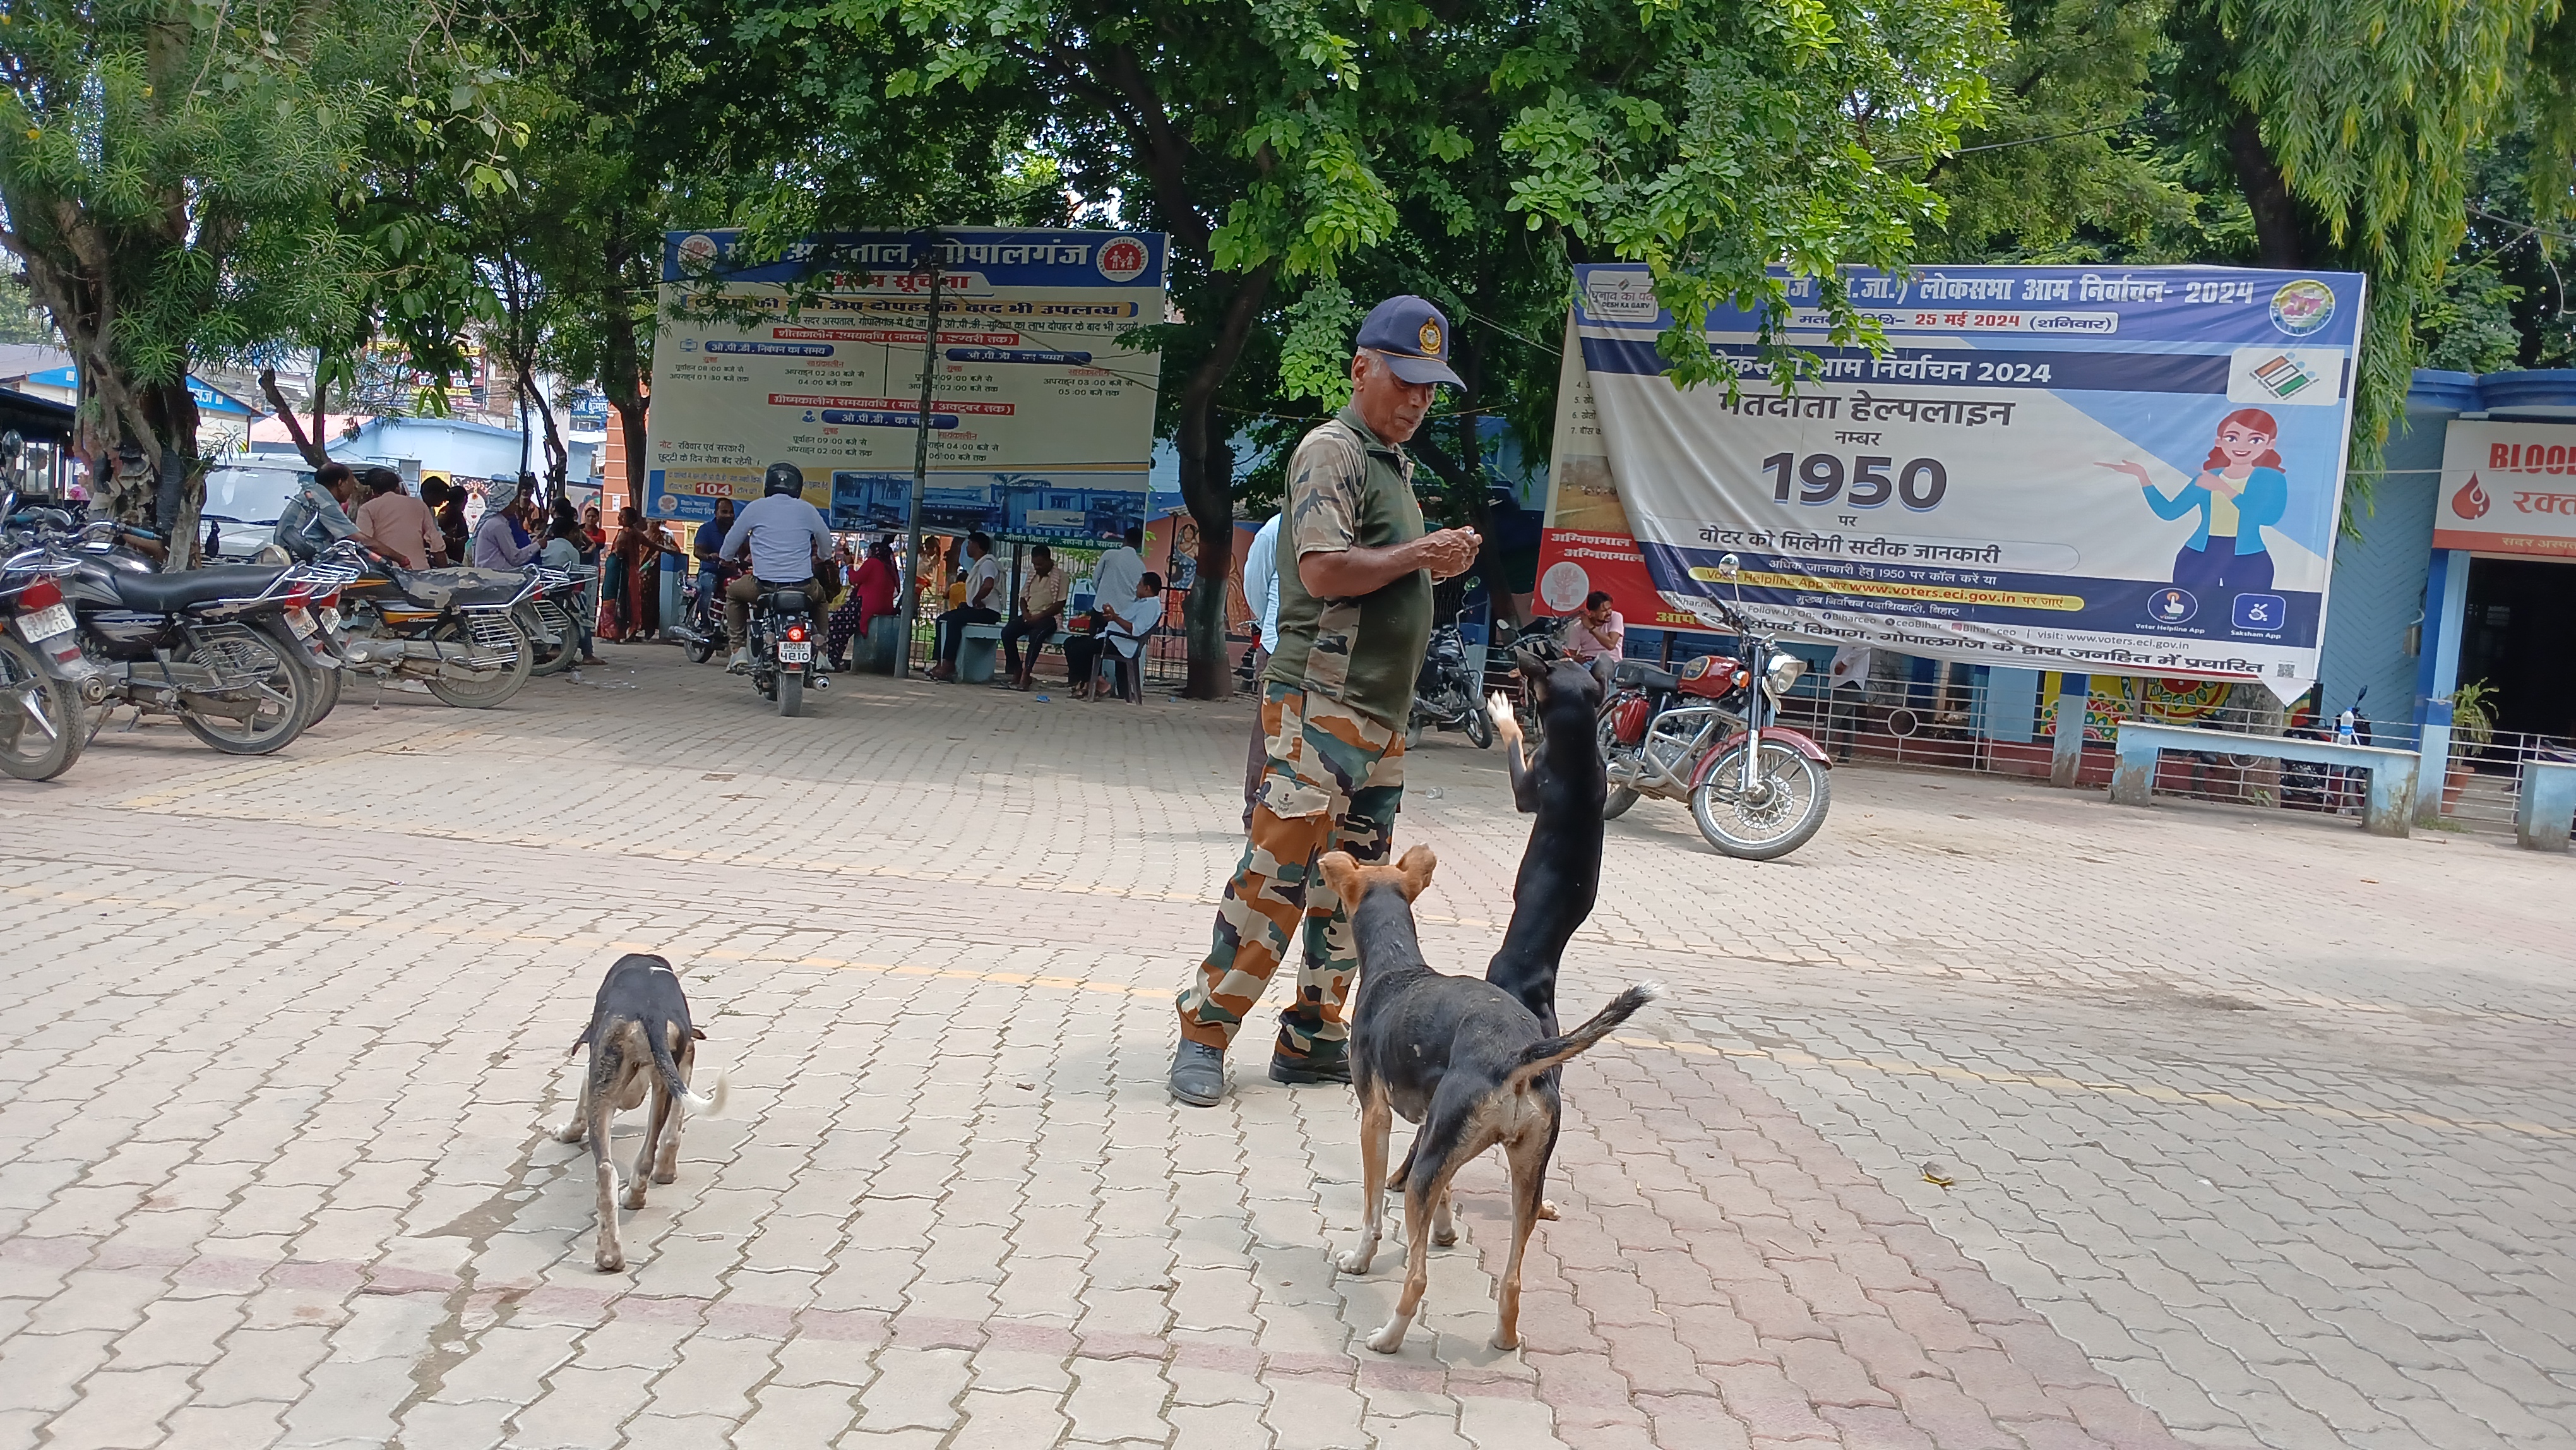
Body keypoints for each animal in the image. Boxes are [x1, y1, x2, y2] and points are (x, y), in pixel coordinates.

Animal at [554, 958, 731, 1277]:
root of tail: (651, 1011)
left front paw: (567, 1132)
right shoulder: (682, 1061)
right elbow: (673, 1131)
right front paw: (667, 1172)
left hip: (607, 1084)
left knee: (606, 1170)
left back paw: (608, 1255)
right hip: (664, 1079)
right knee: (649, 1153)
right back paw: (637, 1196)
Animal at [1318, 844, 1659, 1360]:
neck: (1397, 967)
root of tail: (1514, 1054)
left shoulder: (1375, 1120)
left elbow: (1372, 1211)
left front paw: (1360, 1258)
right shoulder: (1435, 1135)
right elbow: (1446, 1193)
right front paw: (1444, 1230)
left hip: (1428, 1173)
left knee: (1417, 1280)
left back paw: (1388, 1338)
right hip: (1524, 1176)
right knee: (1512, 1279)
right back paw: (1505, 1336)